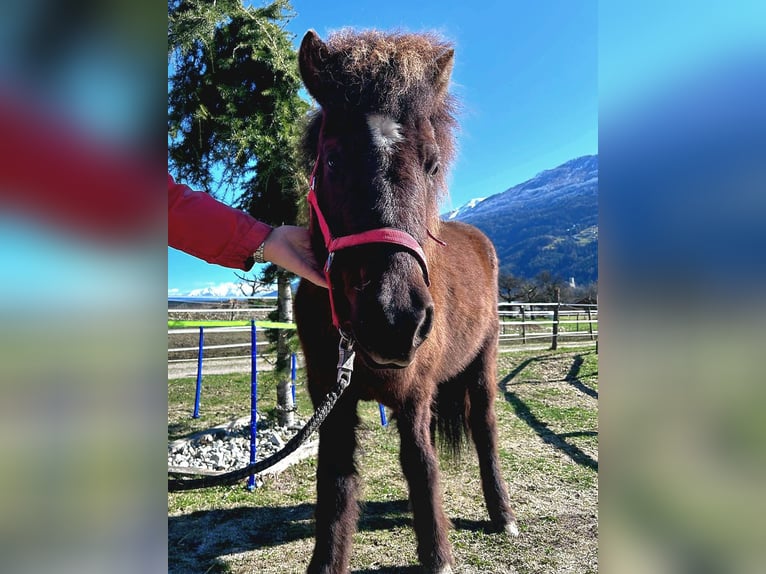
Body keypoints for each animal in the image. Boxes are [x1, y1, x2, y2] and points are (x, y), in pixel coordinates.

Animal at [293, 29, 518, 574]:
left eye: (433, 164)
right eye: (332, 160)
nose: (393, 319)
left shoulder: (415, 394)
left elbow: (421, 465)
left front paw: (437, 555)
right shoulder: (329, 400)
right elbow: (335, 481)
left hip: (483, 364)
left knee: (484, 428)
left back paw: (502, 514)